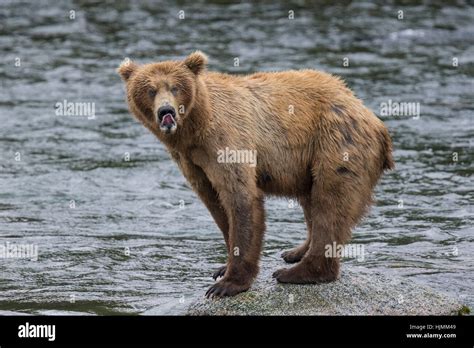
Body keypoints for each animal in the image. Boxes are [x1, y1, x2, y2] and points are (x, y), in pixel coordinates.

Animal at [116, 51, 394, 296]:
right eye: (150, 90)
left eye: (175, 87)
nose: (166, 112)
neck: (195, 128)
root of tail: (372, 117)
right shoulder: (191, 161)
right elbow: (216, 205)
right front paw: (222, 267)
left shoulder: (226, 140)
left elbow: (240, 198)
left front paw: (226, 285)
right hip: (308, 161)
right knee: (312, 200)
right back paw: (296, 251)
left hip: (337, 142)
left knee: (331, 203)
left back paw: (298, 272)